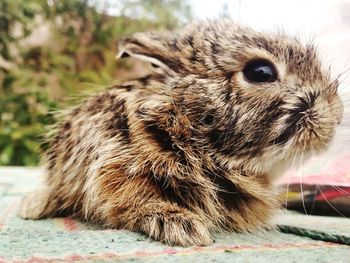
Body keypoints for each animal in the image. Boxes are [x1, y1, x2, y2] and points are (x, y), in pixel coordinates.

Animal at [17, 20, 344, 248]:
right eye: (260, 72)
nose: (335, 115)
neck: (185, 119)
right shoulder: (114, 165)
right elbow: (131, 202)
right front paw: (181, 226)